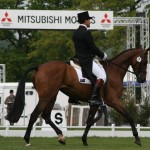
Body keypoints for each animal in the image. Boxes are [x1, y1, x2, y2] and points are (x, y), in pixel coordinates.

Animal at [6, 47, 149, 146]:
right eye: (145, 61)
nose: (142, 79)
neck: (114, 71)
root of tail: (40, 66)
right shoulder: (113, 101)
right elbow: (129, 115)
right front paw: (137, 139)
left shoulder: (96, 103)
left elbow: (90, 120)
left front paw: (84, 140)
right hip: (46, 97)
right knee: (35, 115)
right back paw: (27, 140)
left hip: (52, 95)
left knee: (46, 116)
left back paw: (61, 137)